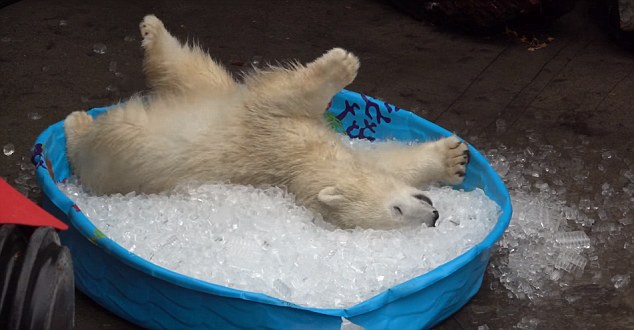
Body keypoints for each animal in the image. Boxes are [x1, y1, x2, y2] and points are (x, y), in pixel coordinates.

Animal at [64, 14, 466, 229]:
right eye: (395, 212)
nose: (433, 216)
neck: (293, 168)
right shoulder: (276, 129)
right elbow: (284, 95)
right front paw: (342, 64)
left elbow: (387, 160)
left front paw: (453, 159)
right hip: (130, 148)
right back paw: (76, 123)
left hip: (207, 94)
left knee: (190, 70)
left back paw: (152, 30)